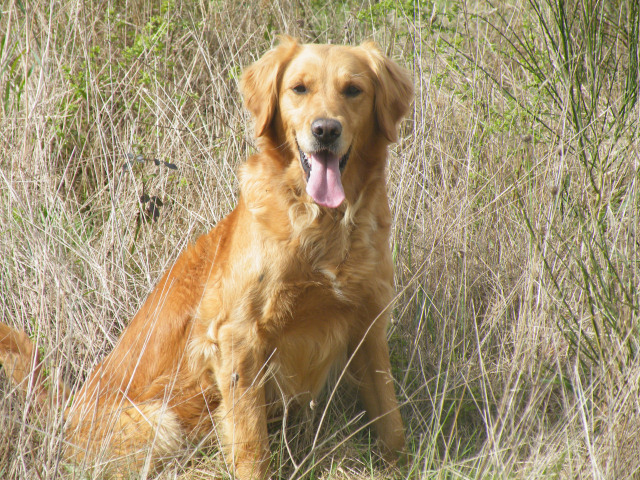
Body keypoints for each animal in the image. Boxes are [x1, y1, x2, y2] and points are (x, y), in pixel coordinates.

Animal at [0, 35, 416, 478]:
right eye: (299, 88)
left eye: (353, 90)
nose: (325, 130)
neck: (323, 225)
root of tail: (65, 413)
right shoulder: (238, 338)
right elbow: (251, 444)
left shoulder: (368, 324)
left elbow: (391, 420)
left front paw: (400, 465)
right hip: (161, 423)